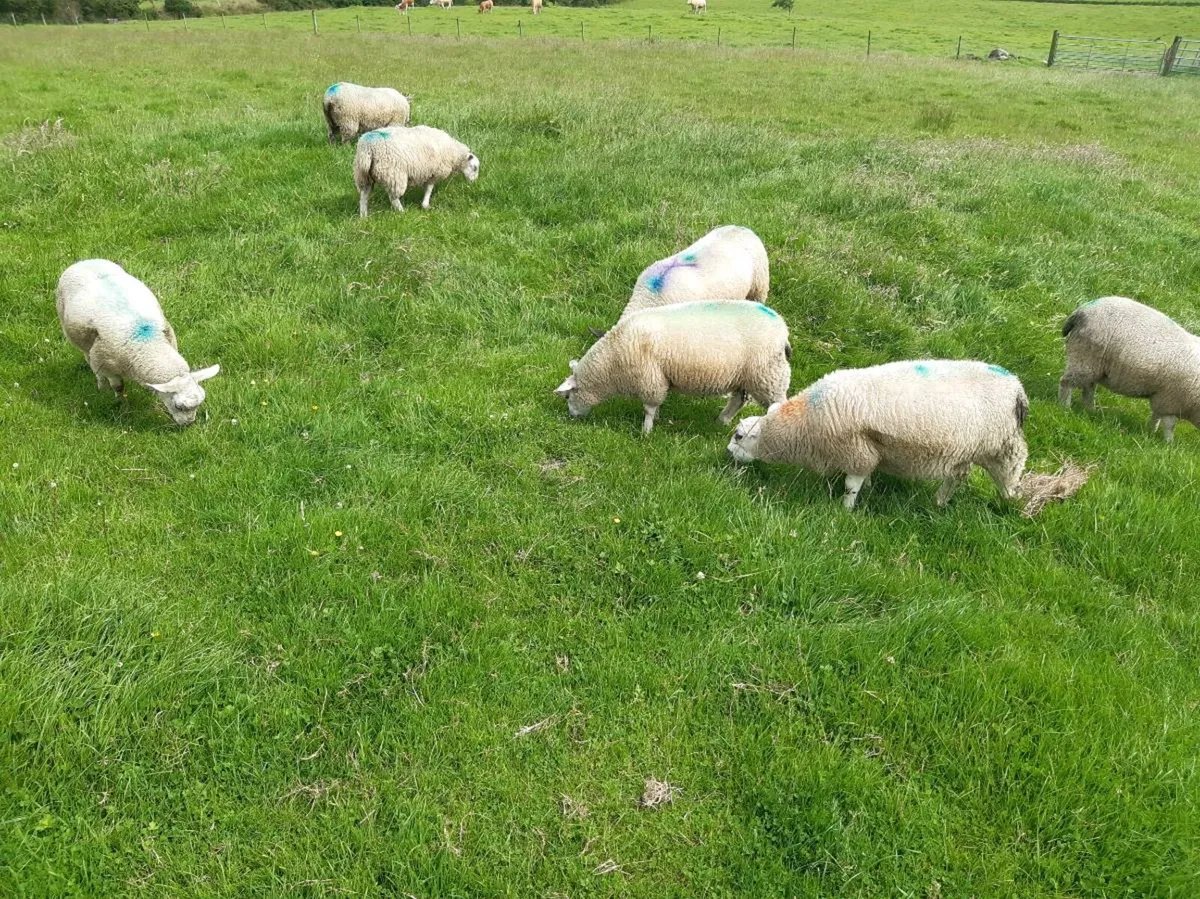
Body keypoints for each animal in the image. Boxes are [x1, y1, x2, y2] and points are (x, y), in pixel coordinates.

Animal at [56, 260, 220, 426]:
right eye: (178, 406)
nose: (188, 424)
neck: (148, 343)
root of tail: (84, 261)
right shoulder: (106, 364)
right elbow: (118, 386)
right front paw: (120, 402)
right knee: (88, 357)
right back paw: (101, 386)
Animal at [554, 300, 792, 435]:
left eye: (567, 396)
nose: (572, 417)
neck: (611, 365)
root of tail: (783, 330)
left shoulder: (650, 379)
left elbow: (649, 408)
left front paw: (647, 431)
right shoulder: (657, 379)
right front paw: (656, 419)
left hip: (768, 375)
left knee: (777, 404)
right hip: (745, 376)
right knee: (738, 400)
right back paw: (721, 421)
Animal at [727, 360, 1029, 509]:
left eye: (738, 436)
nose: (727, 455)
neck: (804, 422)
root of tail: (1017, 387)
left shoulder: (856, 451)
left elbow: (851, 485)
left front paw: (846, 509)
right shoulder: (870, 450)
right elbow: (867, 476)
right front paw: (870, 488)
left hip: (1001, 446)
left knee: (1009, 473)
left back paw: (1011, 502)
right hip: (966, 449)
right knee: (959, 475)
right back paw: (940, 502)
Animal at [1060, 295, 1200, 442]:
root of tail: (1081, 311)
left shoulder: (1161, 398)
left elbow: (1156, 417)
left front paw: (1150, 432)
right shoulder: (1171, 400)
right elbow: (1169, 425)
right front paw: (1168, 443)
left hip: (1093, 365)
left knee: (1089, 387)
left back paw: (1089, 410)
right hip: (1083, 357)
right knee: (1067, 383)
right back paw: (1065, 407)